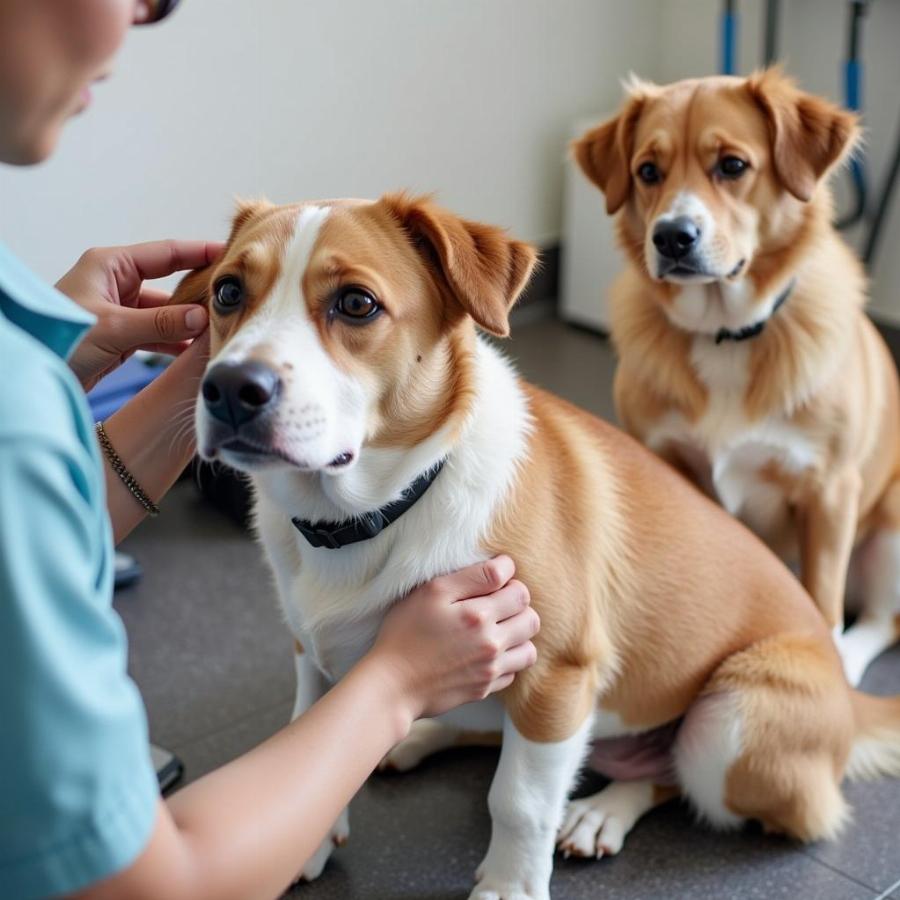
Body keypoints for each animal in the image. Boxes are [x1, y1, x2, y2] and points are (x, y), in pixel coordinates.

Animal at [174, 195, 900, 900]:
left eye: (356, 303)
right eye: (228, 292)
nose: (231, 389)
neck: (375, 513)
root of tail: (847, 697)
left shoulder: (557, 672)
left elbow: (518, 800)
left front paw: (509, 887)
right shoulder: (313, 651)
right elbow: (312, 736)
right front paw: (309, 843)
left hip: (726, 724)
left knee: (674, 778)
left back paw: (601, 810)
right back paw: (418, 735)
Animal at [572, 70, 900, 684]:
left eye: (732, 165)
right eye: (647, 171)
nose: (671, 237)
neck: (726, 332)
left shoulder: (830, 492)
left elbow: (822, 599)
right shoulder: (667, 465)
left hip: (890, 529)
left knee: (878, 620)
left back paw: (845, 661)